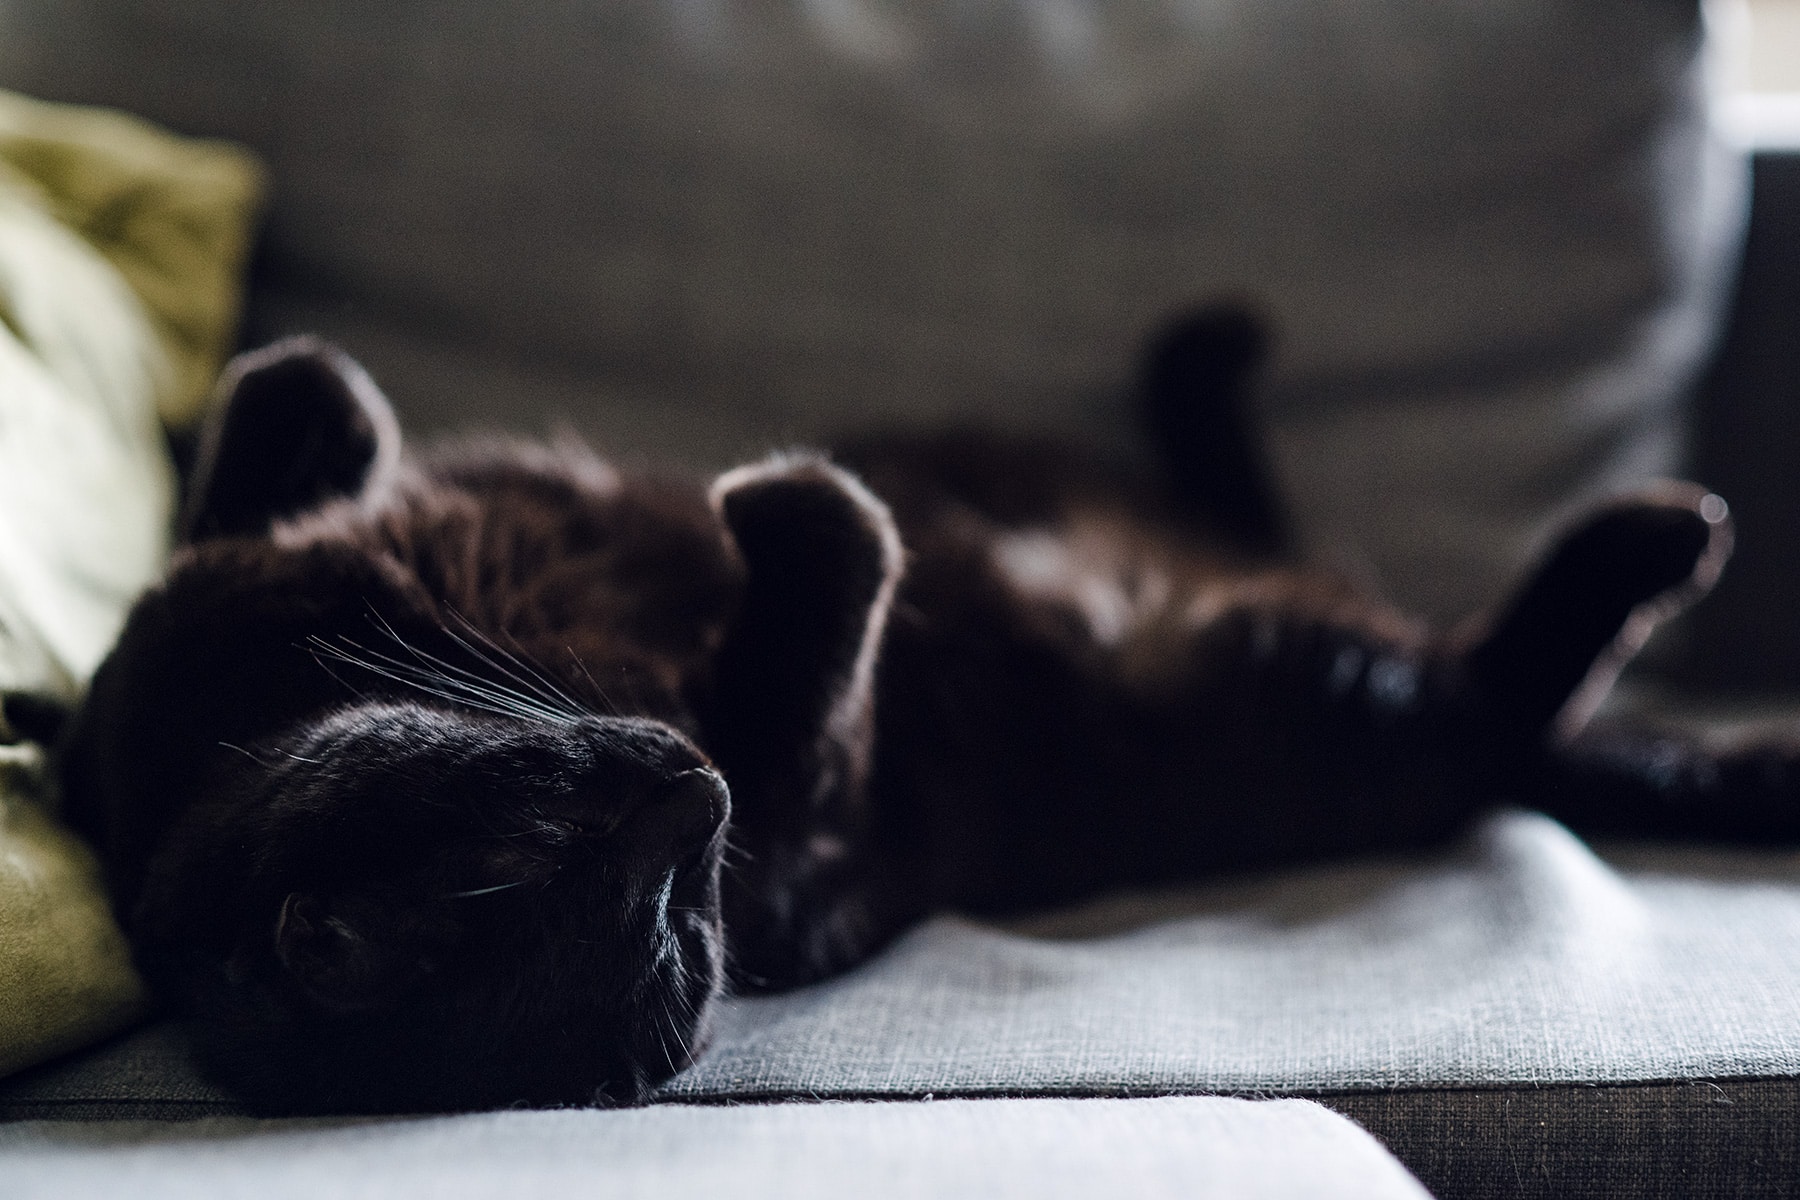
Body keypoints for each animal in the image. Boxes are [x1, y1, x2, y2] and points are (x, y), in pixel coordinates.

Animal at [59, 313, 1800, 1115]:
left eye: (534, 830)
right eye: (667, 921)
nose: (688, 795)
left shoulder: (188, 631)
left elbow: (269, 409)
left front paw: (332, 410)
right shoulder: (817, 806)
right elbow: (832, 605)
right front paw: (799, 505)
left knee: (1283, 520)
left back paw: (1199, 360)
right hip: (1309, 679)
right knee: (1499, 682)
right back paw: (1663, 537)